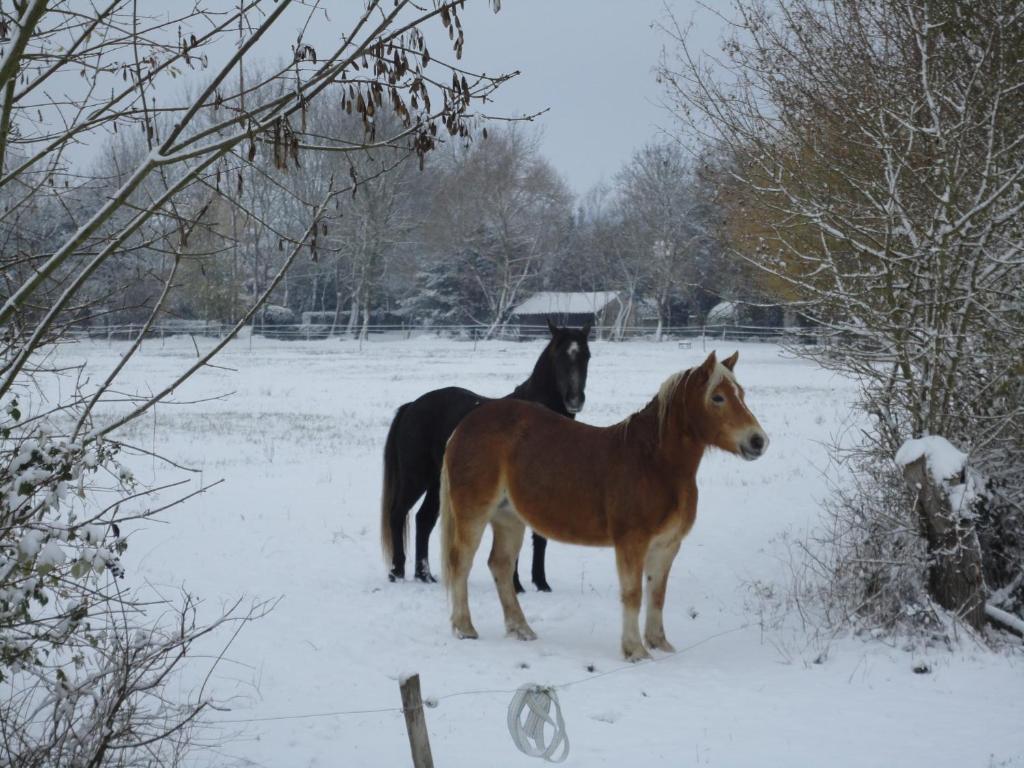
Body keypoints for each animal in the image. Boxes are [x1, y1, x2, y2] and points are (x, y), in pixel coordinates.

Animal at [382, 321, 593, 593]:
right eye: (558, 355)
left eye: (586, 355)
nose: (574, 400)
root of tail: (412, 406)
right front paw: (516, 585)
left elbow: (540, 538)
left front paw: (541, 583)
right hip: (416, 477)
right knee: (398, 514)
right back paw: (396, 571)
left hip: (437, 482)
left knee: (424, 520)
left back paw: (424, 575)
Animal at [440, 352, 770, 659]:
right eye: (718, 397)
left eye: (741, 394)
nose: (758, 441)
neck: (653, 464)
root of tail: (463, 426)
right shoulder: (631, 543)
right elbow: (633, 594)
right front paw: (635, 650)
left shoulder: (667, 546)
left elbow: (657, 594)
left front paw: (660, 644)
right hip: (474, 514)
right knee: (461, 562)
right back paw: (465, 628)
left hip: (509, 519)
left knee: (501, 565)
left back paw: (521, 629)